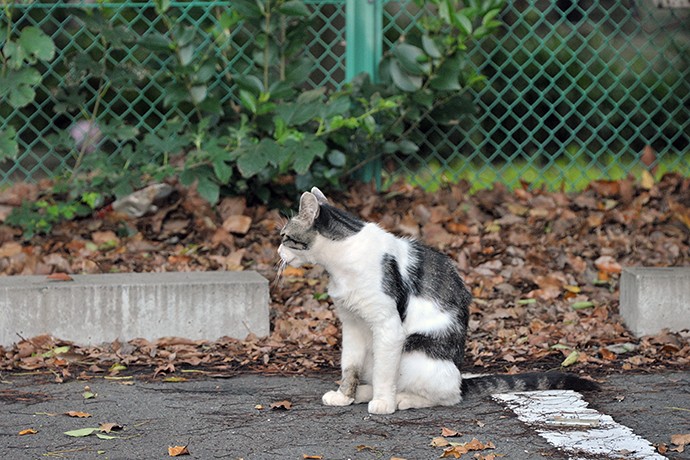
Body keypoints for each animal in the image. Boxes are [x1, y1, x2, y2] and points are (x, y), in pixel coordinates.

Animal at [276, 185, 592, 416]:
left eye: (285, 236)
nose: (277, 251)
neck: (340, 261)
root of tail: (461, 378)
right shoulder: (351, 323)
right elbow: (349, 366)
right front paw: (345, 396)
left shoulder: (388, 327)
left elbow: (385, 373)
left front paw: (384, 403)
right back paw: (366, 392)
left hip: (414, 350)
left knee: (446, 395)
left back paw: (401, 398)